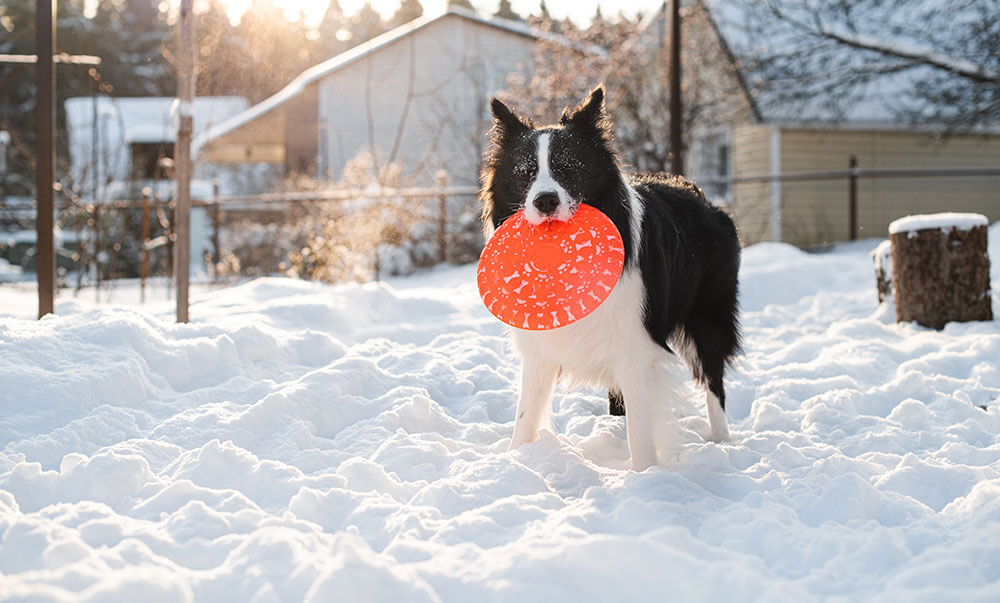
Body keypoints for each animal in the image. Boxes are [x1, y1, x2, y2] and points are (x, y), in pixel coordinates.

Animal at [480, 86, 740, 472]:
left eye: (570, 168)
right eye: (525, 173)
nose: (545, 201)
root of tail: (701, 197)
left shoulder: (636, 349)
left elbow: (642, 433)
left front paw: (644, 475)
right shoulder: (540, 352)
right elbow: (525, 417)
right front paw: (515, 461)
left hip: (708, 317)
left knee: (713, 381)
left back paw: (722, 443)